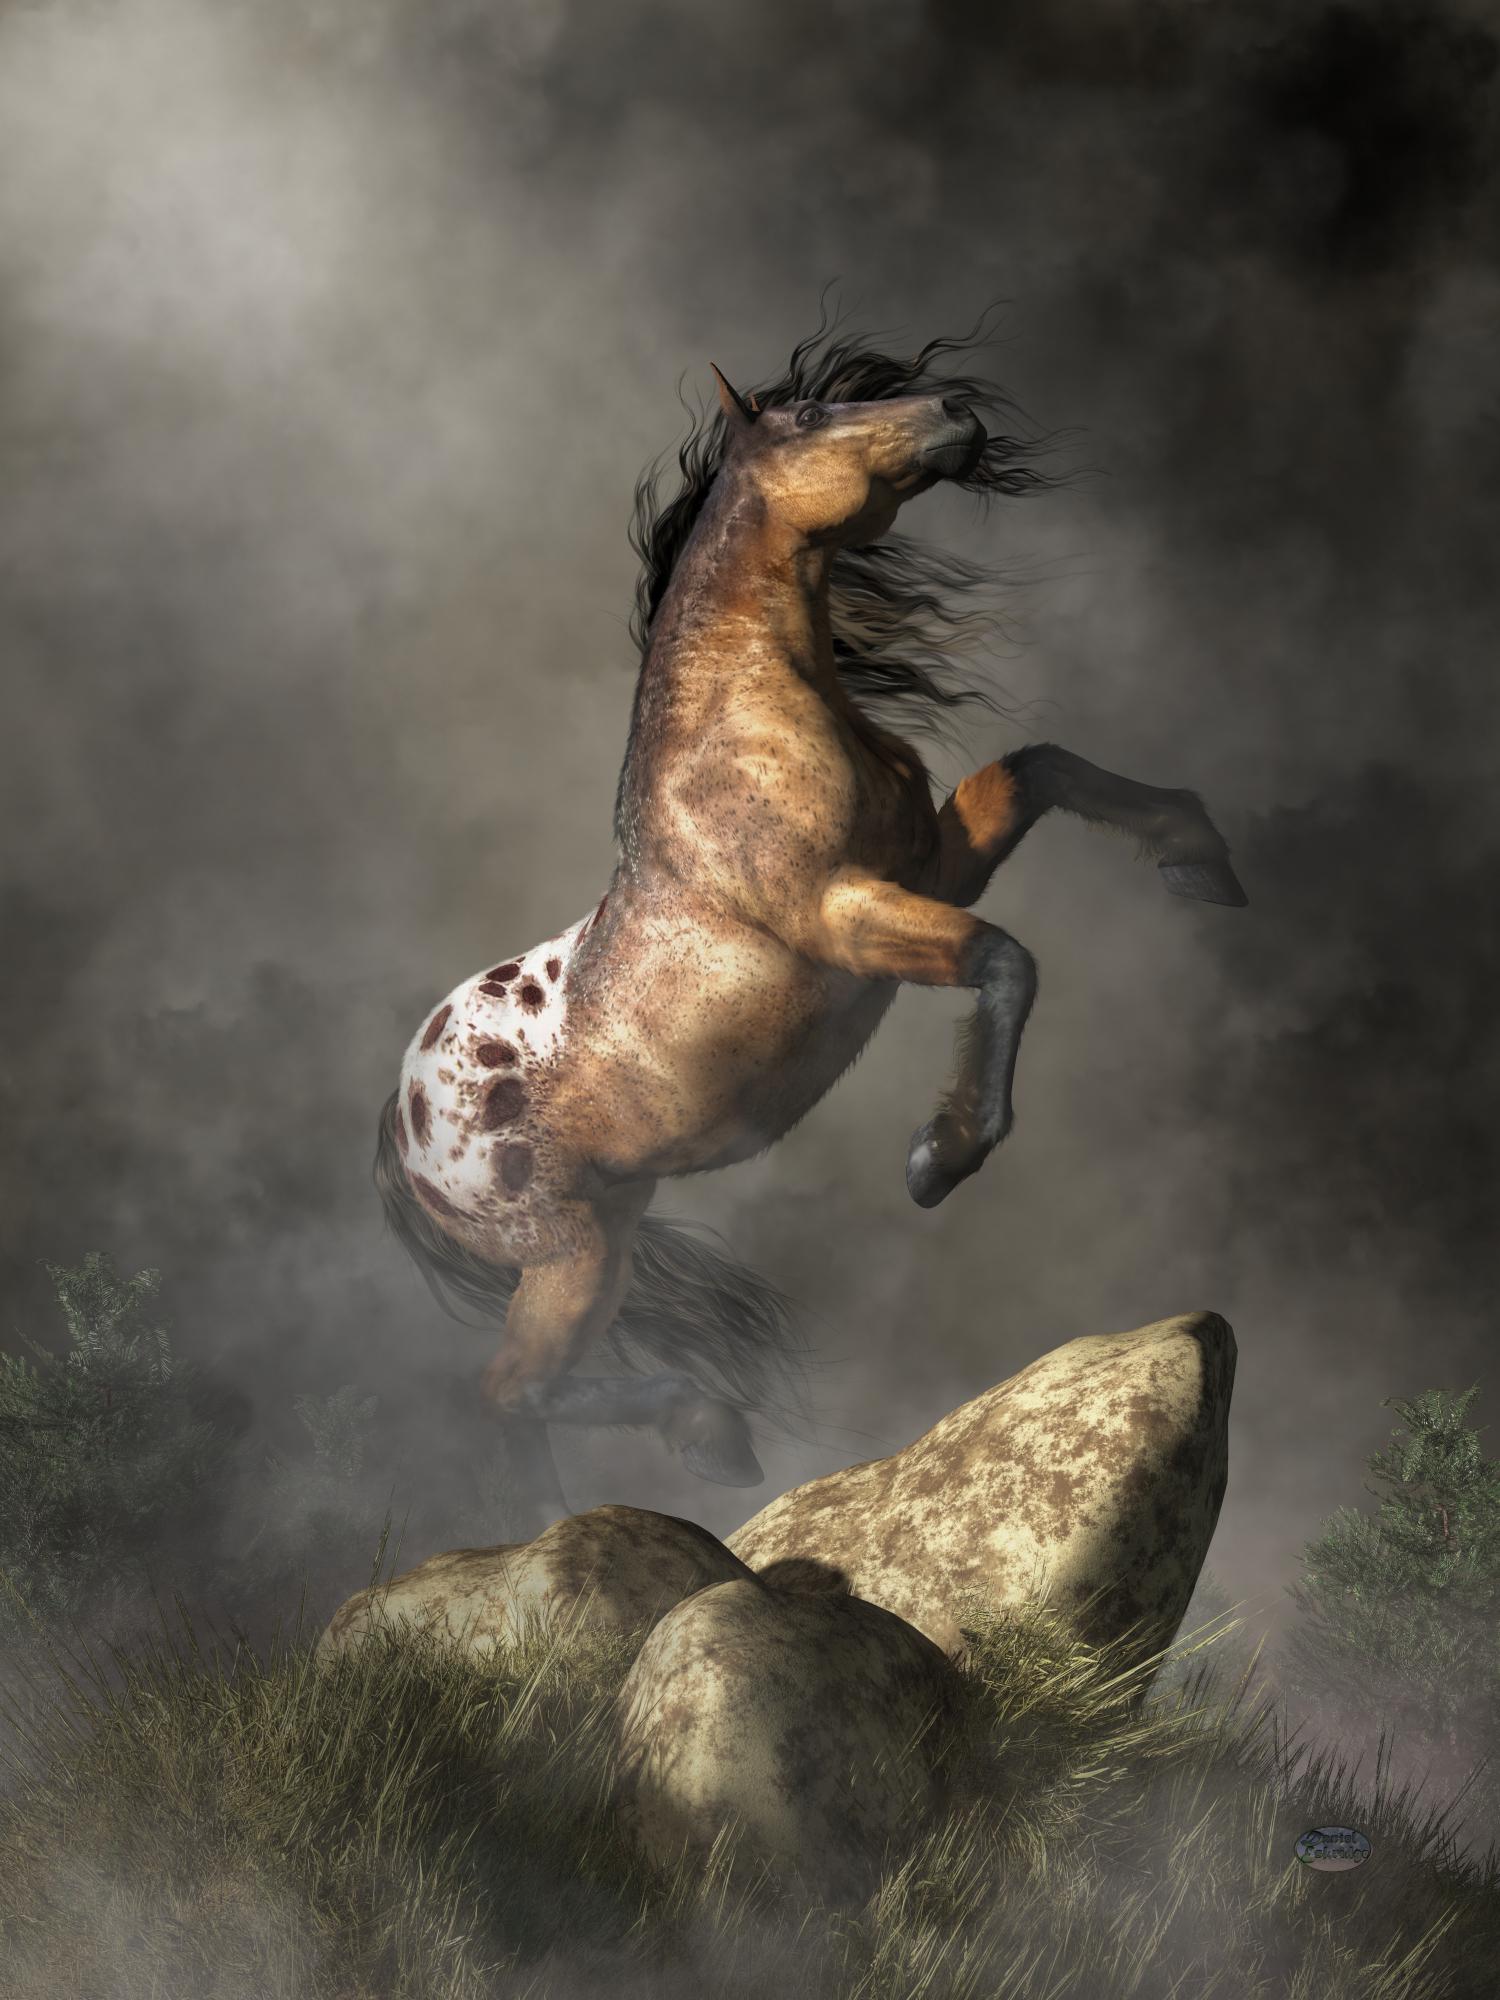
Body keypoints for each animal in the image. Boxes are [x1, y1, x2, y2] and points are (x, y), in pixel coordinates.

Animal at [374, 316, 1247, 1532]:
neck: (748, 729)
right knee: (512, 1392)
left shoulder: (931, 862)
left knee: (530, 1394)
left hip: (613, 1229)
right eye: (812, 415)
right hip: (567, 1253)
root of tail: (396, 1123)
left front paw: (1198, 855)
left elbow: (1044, 768)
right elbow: (1008, 959)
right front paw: (942, 1155)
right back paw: (664, 1463)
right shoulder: (844, 918)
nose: (957, 415)